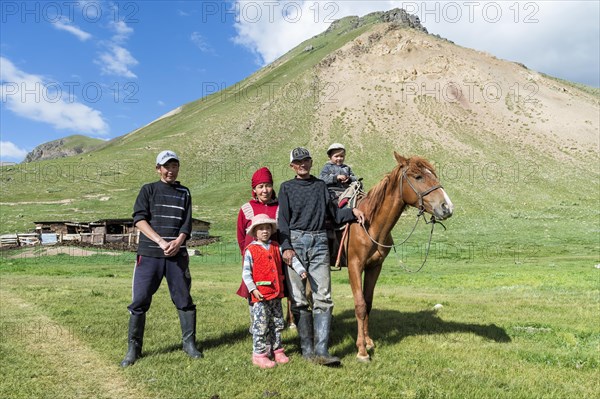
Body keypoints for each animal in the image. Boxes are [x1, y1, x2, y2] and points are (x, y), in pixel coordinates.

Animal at [344, 152, 452, 360]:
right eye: (418, 177)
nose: (447, 207)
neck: (369, 223)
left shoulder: (374, 266)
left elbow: (368, 303)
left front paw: (369, 342)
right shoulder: (354, 265)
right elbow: (360, 305)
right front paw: (361, 350)